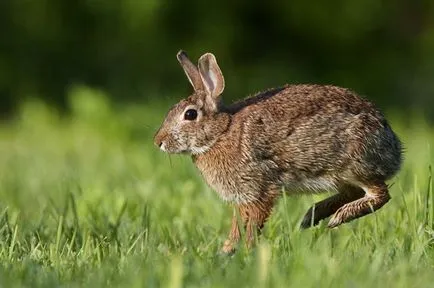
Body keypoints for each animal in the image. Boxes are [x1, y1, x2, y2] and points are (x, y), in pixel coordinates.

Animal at [153, 50, 404, 253]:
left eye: (190, 114)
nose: (158, 142)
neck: (221, 133)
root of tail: (393, 146)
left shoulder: (258, 190)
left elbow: (250, 226)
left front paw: (242, 252)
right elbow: (238, 225)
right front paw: (227, 252)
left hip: (354, 163)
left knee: (380, 194)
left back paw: (336, 218)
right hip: (340, 175)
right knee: (354, 192)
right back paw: (312, 217)